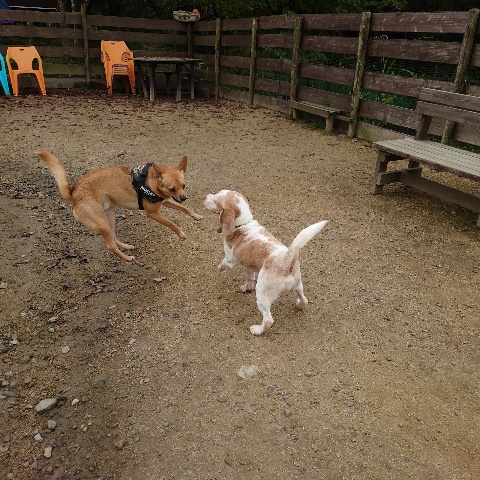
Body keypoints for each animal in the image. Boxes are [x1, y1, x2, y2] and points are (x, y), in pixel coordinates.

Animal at [38, 150, 203, 261]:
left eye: (183, 185)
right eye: (172, 189)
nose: (184, 197)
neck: (150, 181)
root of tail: (73, 193)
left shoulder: (165, 201)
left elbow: (185, 208)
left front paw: (196, 215)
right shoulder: (153, 213)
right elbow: (171, 224)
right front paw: (181, 234)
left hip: (110, 216)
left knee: (113, 237)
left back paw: (127, 247)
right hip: (102, 221)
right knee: (110, 245)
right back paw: (127, 258)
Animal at [204, 189, 328, 335]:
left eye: (216, 200)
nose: (205, 196)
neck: (244, 223)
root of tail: (286, 260)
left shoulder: (230, 260)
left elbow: (223, 263)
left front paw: (219, 268)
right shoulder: (248, 265)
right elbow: (249, 276)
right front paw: (247, 287)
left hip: (262, 295)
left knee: (268, 320)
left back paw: (257, 330)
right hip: (298, 285)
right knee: (304, 300)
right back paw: (299, 304)